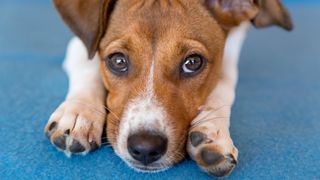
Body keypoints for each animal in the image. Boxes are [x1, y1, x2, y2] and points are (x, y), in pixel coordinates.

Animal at [45, 0, 292, 176]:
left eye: (193, 63)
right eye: (118, 61)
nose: (145, 148)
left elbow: (224, 84)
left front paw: (213, 131)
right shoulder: (80, 46)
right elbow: (89, 66)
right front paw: (79, 113)